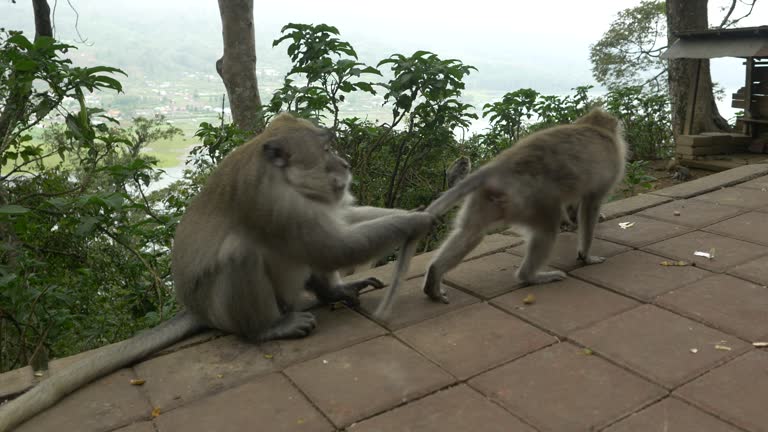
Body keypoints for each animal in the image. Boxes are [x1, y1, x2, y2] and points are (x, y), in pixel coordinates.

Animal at [0, 113, 434, 432]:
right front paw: (418, 221)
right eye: (326, 148)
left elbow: (336, 227)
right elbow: (331, 245)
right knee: (242, 254)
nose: (344, 164)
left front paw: (414, 212)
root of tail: (195, 309)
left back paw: (331, 294)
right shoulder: (272, 203)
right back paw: (268, 328)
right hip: (225, 307)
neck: (283, 177)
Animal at [373, 107, 627, 318]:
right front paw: (586, 256)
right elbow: (590, 206)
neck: (597, 129)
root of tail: (498, 167)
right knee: (546, 230)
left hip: (489, 199)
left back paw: (434, 279)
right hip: (528, 201)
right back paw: (530, 277)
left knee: (472, 233)